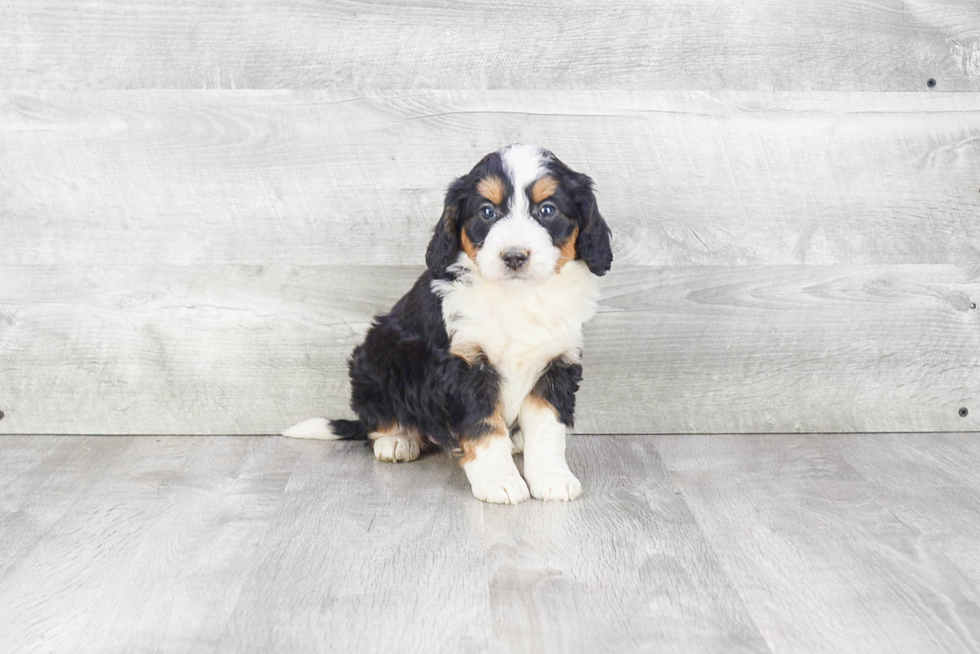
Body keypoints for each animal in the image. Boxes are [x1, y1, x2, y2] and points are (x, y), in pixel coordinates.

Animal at [280, 146, 612, 508]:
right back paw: (397, 440)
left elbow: (548, 429)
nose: (514, 256)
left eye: (547, 210)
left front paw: (552, 479)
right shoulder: (463, 363)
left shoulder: (558, 362)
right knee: (377, 420)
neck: (517, 295)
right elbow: (483, 427)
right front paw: (500, 481)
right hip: (376, 356)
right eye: (486, 211)